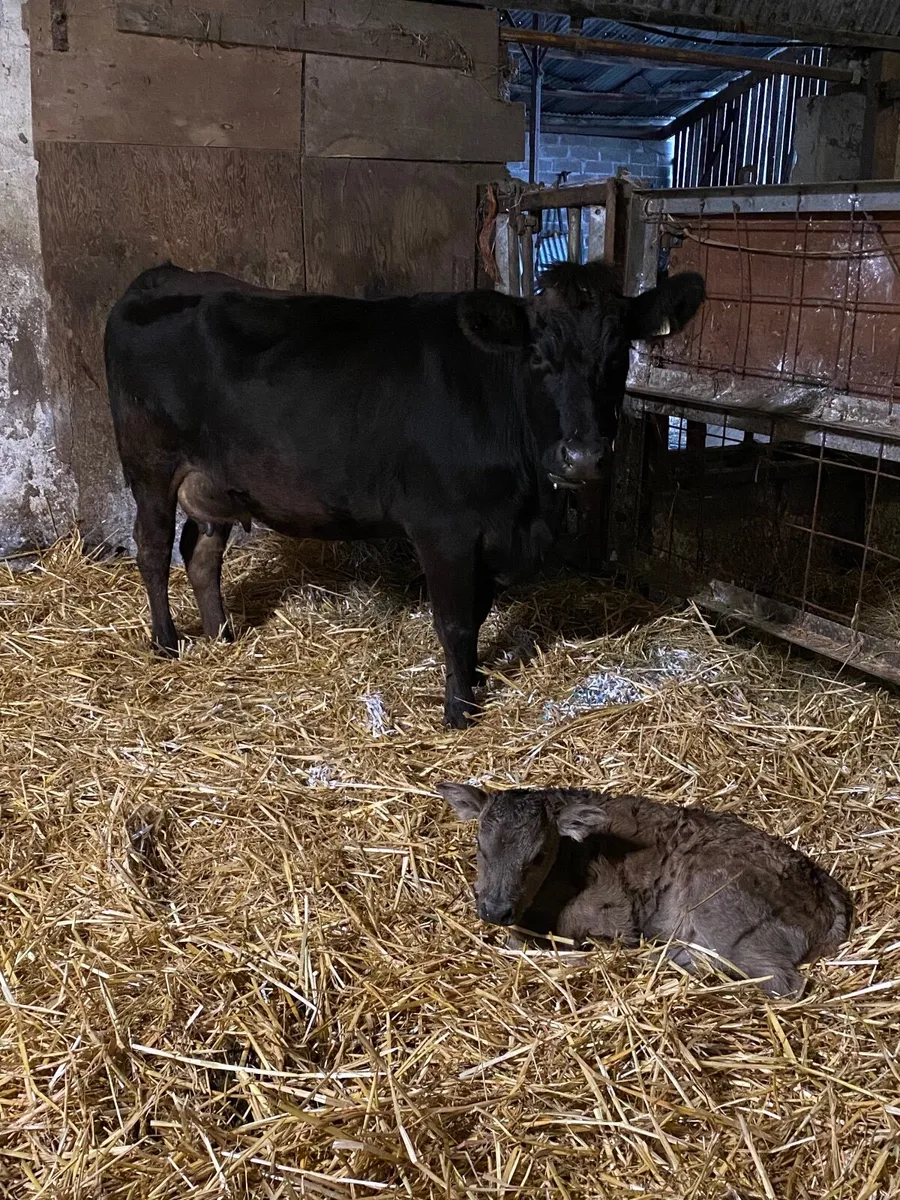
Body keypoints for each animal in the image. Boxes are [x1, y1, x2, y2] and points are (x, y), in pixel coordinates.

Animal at [104, 261, 705, 727]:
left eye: (619, 355)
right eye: (538, 356)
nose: (582, 456)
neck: (531, 505)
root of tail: (161, 276)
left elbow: (477, 614)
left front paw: (475, 681)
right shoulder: (445, 528)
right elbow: (455, 621)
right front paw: (459, 712)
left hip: (213, 481)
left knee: (201, 554)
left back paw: (222, 637)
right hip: (150, 466)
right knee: (153, 550)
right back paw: (166, 643)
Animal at [439, 783, 852, 997]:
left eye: (539, 854)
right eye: (479, 845)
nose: (494, 910)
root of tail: (825, 891)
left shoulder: (615, 914)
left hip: (723, 908)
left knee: (781, 982)